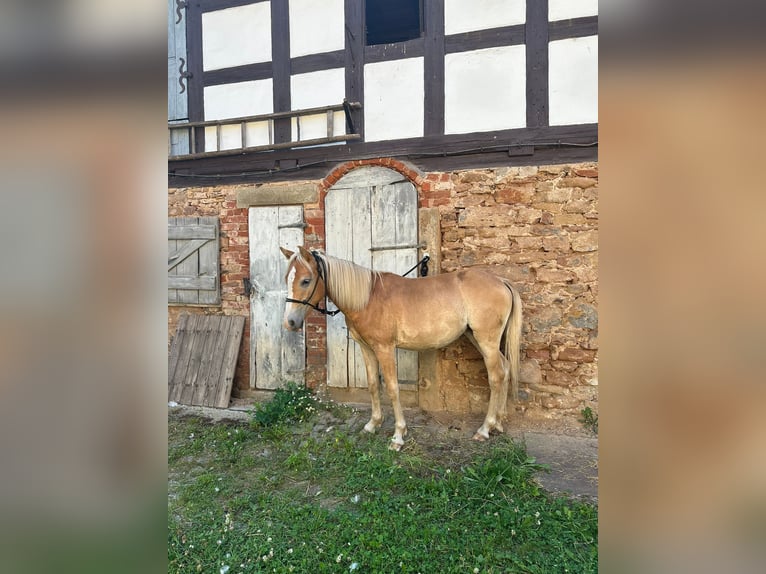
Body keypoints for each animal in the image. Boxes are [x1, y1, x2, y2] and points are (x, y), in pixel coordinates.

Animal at [280, 245, 524, 452]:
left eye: (305, 280)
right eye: (287, 278)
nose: (290, 322)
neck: (367, 298)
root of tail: (501, 281)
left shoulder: (385, 349)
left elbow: (392, 388)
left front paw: (398, 436)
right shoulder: (367, 349)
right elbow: (372, 385)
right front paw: (372, 424)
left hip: (486, 341)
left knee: (496, 376)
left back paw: (485, 428)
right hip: (477, 338)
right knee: (505, 369)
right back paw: (498, 423)